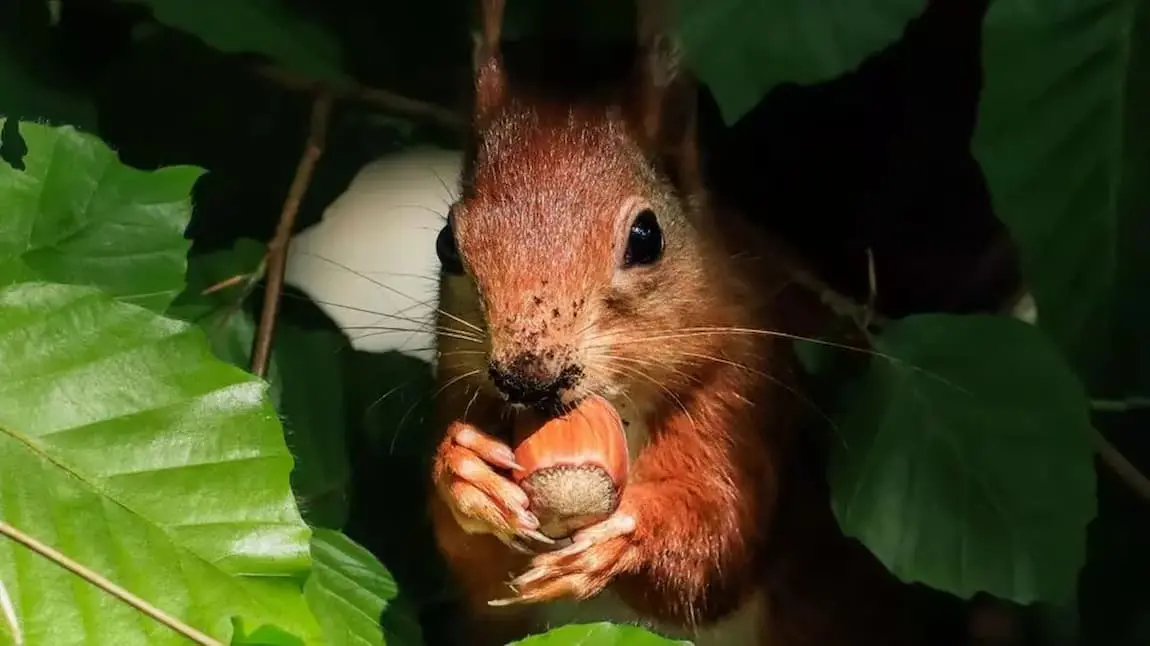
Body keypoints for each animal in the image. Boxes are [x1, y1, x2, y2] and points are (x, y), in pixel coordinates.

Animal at [425, 2, 943, 639]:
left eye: (647, 236)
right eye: (447, 244)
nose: (526, 377)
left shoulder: (740, 397)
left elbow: (718, 539)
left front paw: (630, 537)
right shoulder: (460, 391)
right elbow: (481, 575)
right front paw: (464, 473)